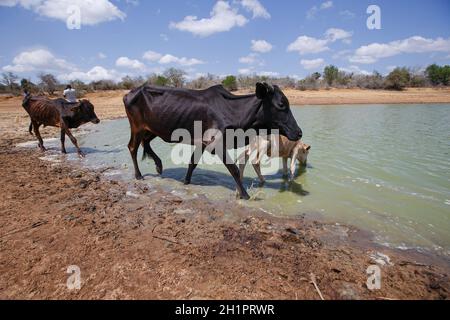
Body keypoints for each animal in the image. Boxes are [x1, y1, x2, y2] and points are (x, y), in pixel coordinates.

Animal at [123, 82, 302, 199]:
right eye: (281, 104)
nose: (299, 132)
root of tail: (130, 92)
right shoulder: (217, 144)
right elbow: (234, 169)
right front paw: (244, 195)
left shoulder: (203, 143)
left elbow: (192, 163)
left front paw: (186, 182)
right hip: (137, 127)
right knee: (132, 147)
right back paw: (139, 175)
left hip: (152, 129)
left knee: (145, 143)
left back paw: (159, 165)